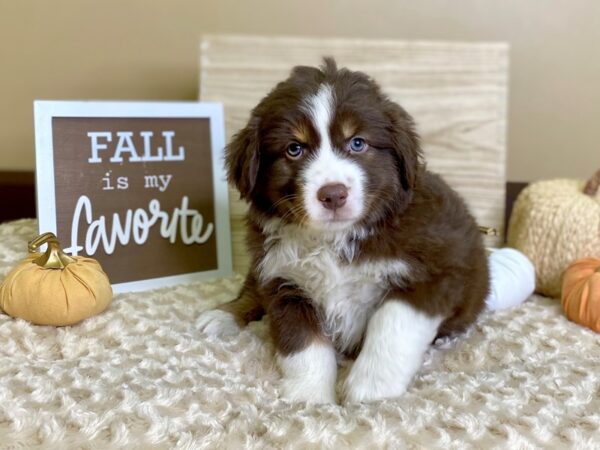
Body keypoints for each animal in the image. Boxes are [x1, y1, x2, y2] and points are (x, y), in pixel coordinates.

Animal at [199, 57, 490, 404]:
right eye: (294, 149)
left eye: (357, 143)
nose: (333, 194)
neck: (334, 238)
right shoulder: (284, 281)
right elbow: (303, 345)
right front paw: (310, 397)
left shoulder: (436, 273)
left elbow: (391, 326)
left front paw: (370, 390)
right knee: (251, 290)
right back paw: (223, 315)